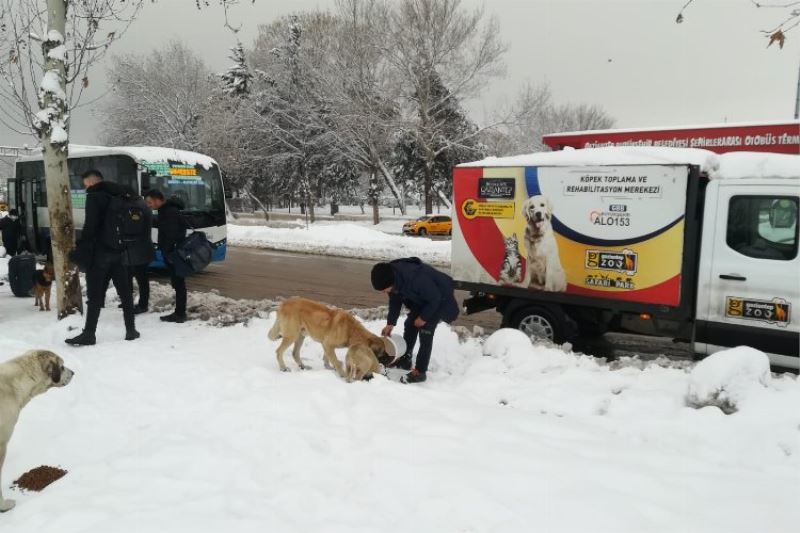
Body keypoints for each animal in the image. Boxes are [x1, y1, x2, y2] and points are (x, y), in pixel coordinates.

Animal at [268, 296, 396, 378]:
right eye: (382, 353)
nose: (392, 358)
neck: (351, 331)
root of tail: (283, 304)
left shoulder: (327, 345)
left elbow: (327, 358)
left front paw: (328, 367)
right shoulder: (328, 344)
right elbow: (336, 361)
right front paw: (342, 374)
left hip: (301, 336)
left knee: (295, 353)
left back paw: (303, 366)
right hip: (292, 335)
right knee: (279, 351)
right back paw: (283, 368)